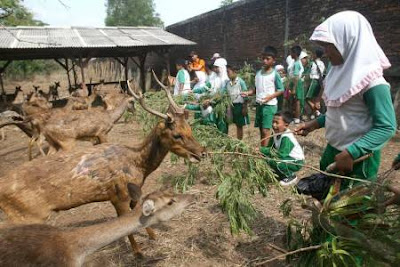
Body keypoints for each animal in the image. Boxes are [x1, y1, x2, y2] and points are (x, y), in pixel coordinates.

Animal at [0, 76, 206, 258]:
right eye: (177, 135)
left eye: (190, 128)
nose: (202, 152)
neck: (138, 165)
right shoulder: (118, 195)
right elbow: (127, 225)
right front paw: (138, 253)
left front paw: (153, 236)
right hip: (26, 214)